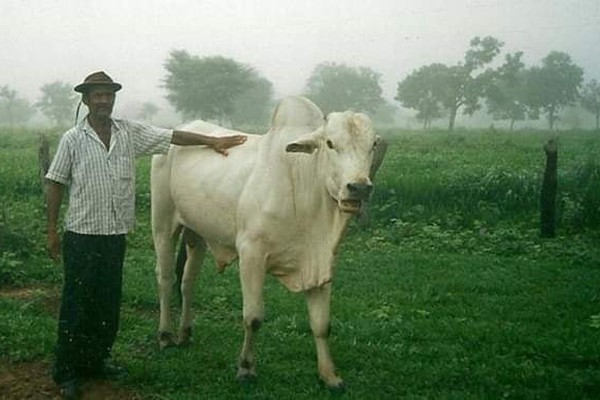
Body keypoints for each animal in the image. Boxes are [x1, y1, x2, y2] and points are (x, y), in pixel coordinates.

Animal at [154, 95, 380, 390]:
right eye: (331, 143)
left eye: (372, 145)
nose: (359, 187)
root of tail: (178, 130)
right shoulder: (251, 254)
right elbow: (253, 317)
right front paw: (246, 368)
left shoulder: (321, 262)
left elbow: (321, 324)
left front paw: (330, 375)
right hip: (162, 222)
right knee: (166, 278)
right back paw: (165, 335)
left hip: (197, 234)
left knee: (187, 282)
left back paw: (185, 333)